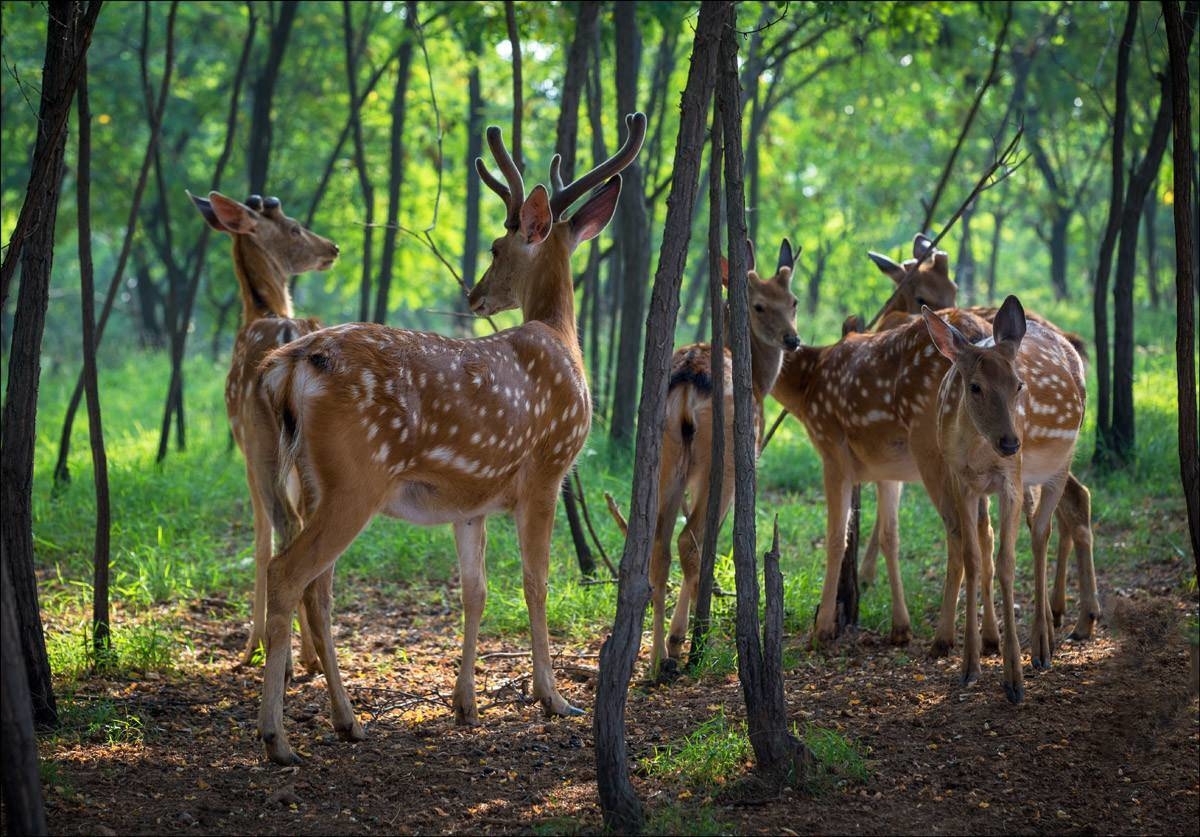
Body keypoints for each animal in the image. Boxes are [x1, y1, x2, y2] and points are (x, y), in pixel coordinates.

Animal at [187, 189, 340, 671]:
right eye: (293, 227)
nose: (332, 247)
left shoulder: (246, 454)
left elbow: (259, 539)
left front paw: (252, 643)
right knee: (305, 537)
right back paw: (310, 655)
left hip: (261, 443)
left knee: (285, 529)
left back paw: (289, 657)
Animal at [253, 112, 648, 762]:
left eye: (494, 247)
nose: (475, 295)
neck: (562, 340)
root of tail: (288, 365)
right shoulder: (546, 471)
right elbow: (536, 582)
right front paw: (553, 697)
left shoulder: (472, 501)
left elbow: (476, 590)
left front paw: (465, 704)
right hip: (355, 478)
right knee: (288, 573)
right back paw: (277, 738)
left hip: (313, 482)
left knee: (318, 588)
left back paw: (347, 720)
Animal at [916, 294, 1089, 695]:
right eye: (975, 386)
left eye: (1019, 385)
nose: (1011, 442)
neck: (980, 454)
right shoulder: (962, 481)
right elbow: (973, 556)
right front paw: (969, 666)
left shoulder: (1011, 479)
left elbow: (1008, 562)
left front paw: (1014, 678)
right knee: (1040, 524)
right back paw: (1051, 634)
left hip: (1057, 463)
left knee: (1042, 531)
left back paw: (1042, 646)